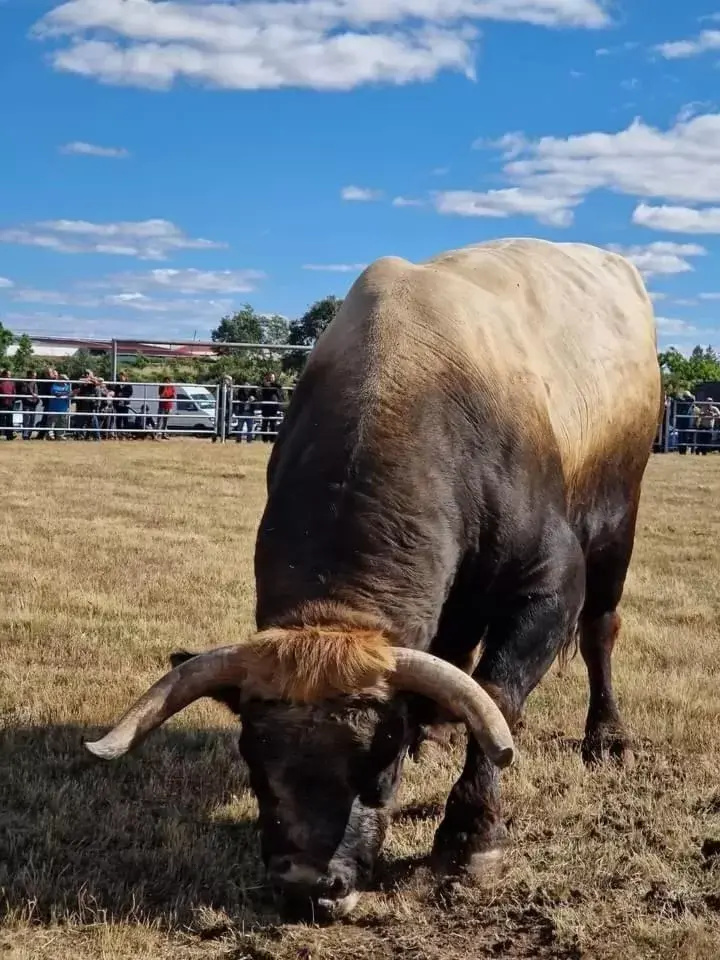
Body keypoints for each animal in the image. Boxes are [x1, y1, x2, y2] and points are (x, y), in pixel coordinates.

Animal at [83, 238, 660, 924]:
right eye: (253, 755)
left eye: (380, 759)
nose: (309, 886)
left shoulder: (549, 584)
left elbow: (501, 698)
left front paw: (471, 841)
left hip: (618, 521)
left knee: (600, 630)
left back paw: (608, 738)